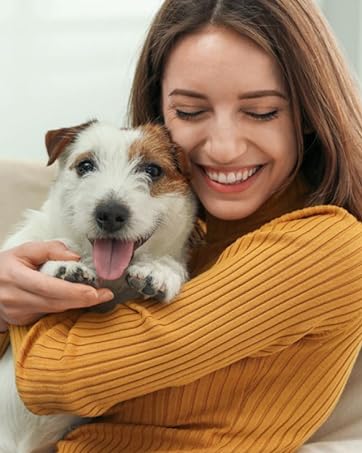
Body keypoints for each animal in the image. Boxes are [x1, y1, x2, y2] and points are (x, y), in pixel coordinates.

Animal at [0, 120, 197, 452]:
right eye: (86, 166)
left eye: (153, 170)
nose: (110, 213)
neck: (111, 280)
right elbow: (54, 243)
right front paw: (65, 264)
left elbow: (169, 263)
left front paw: (159, 270)